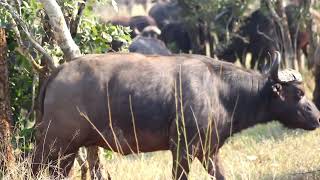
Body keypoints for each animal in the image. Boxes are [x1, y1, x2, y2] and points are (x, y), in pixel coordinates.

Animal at [33, 51, 320, 179]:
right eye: (298, 93)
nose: (317, 117)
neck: (220, 91)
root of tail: (58, 72)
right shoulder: (182, 148)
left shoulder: (209, 152)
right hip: (57, 144)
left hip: (66, 150)